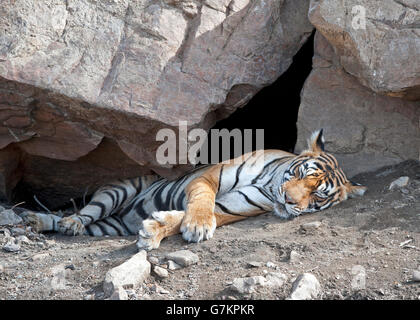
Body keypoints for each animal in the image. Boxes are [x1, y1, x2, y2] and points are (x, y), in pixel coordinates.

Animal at [26, 129, 366, 250]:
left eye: (317, 195)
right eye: (299, 174)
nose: (289, 200)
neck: (269, 186)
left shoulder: (233, 207)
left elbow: (181, 217)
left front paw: (155, 230)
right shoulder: (209, 176)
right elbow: (202, 201)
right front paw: (199, 225)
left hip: (109, 227)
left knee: (82, 224)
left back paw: (38, 222)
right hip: (117, 191)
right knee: (84, 213)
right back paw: (60, 222)